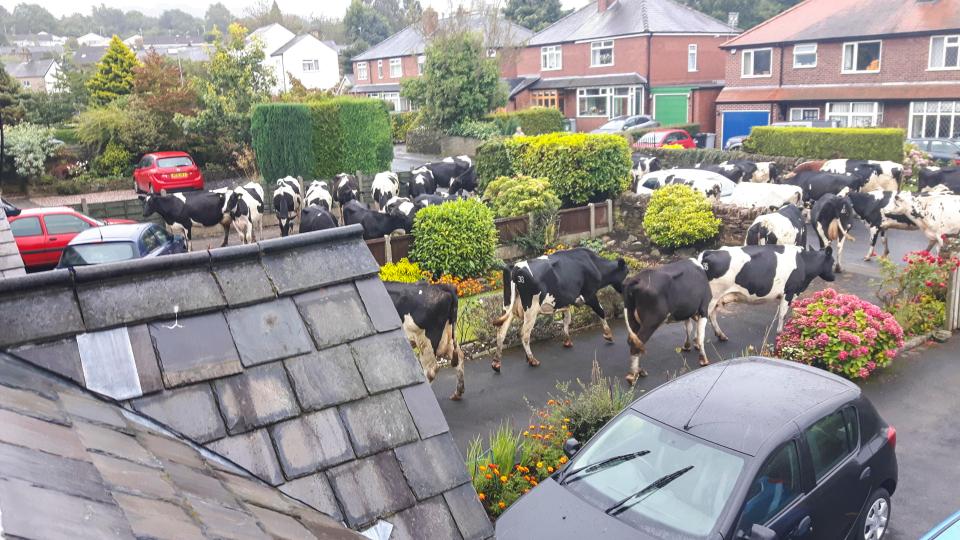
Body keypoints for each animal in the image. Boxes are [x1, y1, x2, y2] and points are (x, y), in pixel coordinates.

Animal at [492, 248, 628, 372]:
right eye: (626, 272)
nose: (626, 289)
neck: (594, 265)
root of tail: (514, 266)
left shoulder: (566, 302)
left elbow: (566, 321)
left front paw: (567, 341)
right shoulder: (589, 295)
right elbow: (601, 311)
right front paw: (608, 335)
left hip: (508, 307)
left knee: (501, 332)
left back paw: (496, 363)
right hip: (531, 310)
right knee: (524, 334)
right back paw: (532, 360)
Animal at [692, 247, 836, 340]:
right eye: (833, 262)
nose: (833, 277)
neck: (804, 262)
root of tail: (709, 252)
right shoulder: (789, 292)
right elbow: (782, 315)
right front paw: (780, 334)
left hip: (716, 298)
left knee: (710, 315)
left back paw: (719, 335)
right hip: (712, 298)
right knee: (702, 318)